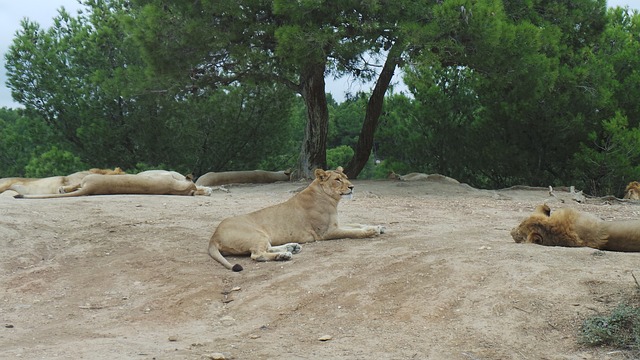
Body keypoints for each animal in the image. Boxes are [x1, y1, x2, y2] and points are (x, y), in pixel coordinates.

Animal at [209, 167, 384, 272]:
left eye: (346, 177)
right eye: (337, 180)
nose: (352, 187)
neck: (331, 199)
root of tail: (213, 236)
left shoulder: (335, 224)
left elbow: (357, 224)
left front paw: (379, 226)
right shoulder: (326, 232)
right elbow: (353, 232)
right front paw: (372, 231)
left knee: (266, 248)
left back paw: (291, 248)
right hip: (256, 234)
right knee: (257, 254)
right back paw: (284, 255)